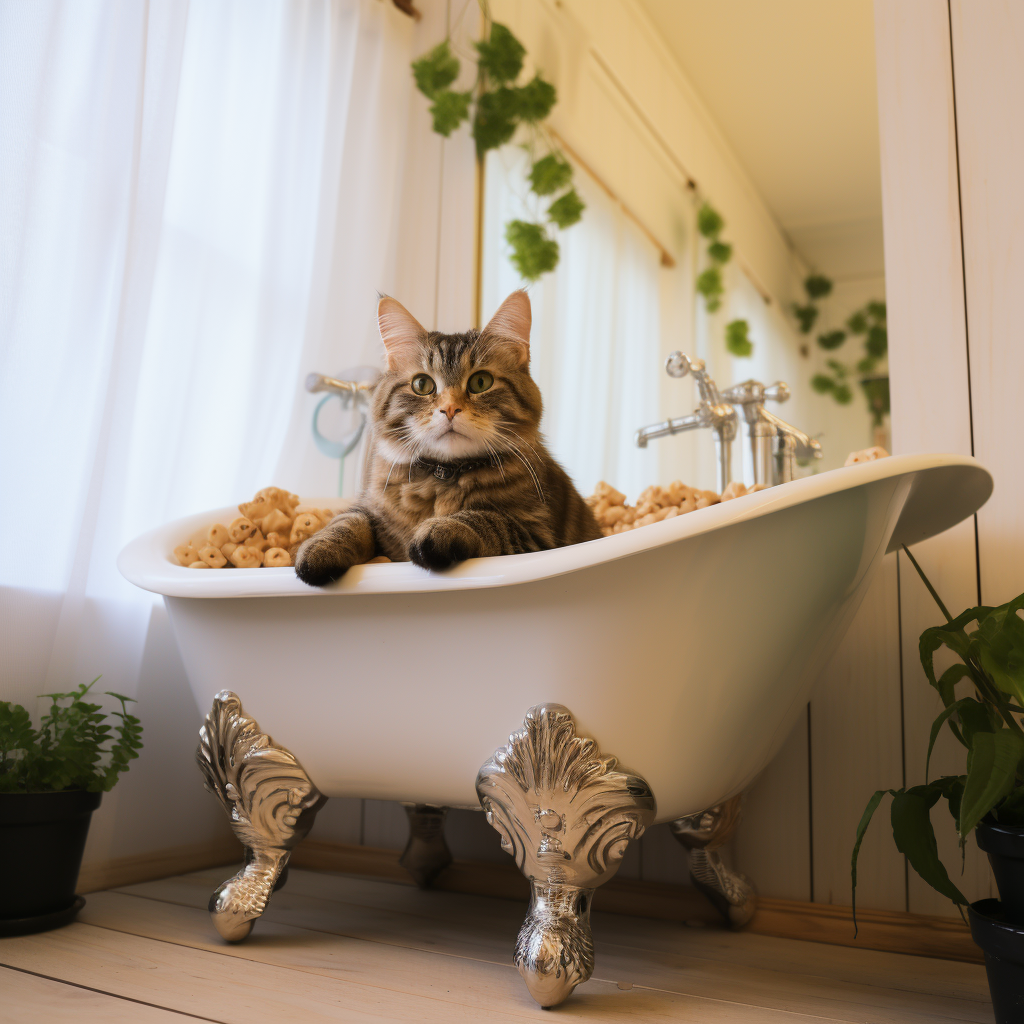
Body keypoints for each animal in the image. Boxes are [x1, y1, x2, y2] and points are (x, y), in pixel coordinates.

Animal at [294, 292, 598, 589]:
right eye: (422, 385)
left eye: (480, 382)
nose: (450, 409)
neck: (444, 475)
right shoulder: (368, 508)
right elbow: (346, 522)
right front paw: (318, 549)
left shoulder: (537, 534)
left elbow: (486, 518)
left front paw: (440, 530)